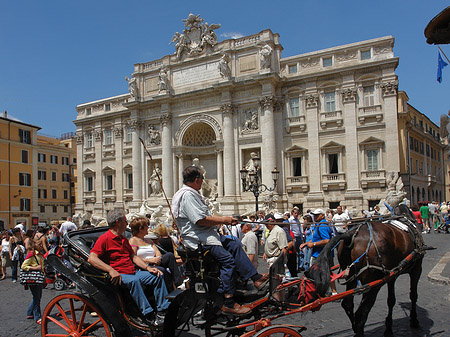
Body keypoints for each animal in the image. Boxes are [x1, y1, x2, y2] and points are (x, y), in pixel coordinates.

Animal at [308, 205, 424, 336]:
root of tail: (350, 235)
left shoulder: (392, 275)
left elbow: (391, 300)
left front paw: (389, 328)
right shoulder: (417, 268)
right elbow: (413, 295)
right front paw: (414, 320)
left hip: (352, 277)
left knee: (348, 305)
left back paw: (355, 328)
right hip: (373, 282)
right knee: (361, 313)